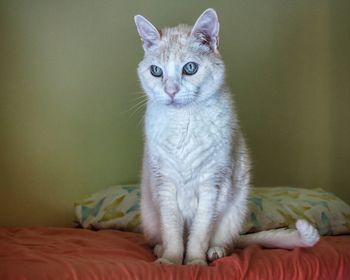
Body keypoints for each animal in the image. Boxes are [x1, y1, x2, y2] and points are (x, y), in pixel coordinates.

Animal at [134, 8, 320, 264]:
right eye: (156, 71)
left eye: (189, 68)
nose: (171, 91)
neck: (183, 123)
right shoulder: (165, 185)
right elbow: (172, 233)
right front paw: (170, 261)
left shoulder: (212, 185)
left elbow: (199, 235)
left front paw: (195, 262)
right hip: (150, 215)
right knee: (163, 239)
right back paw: (161, 251)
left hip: (235, 209)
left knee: (225, 242)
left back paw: (215, 253)